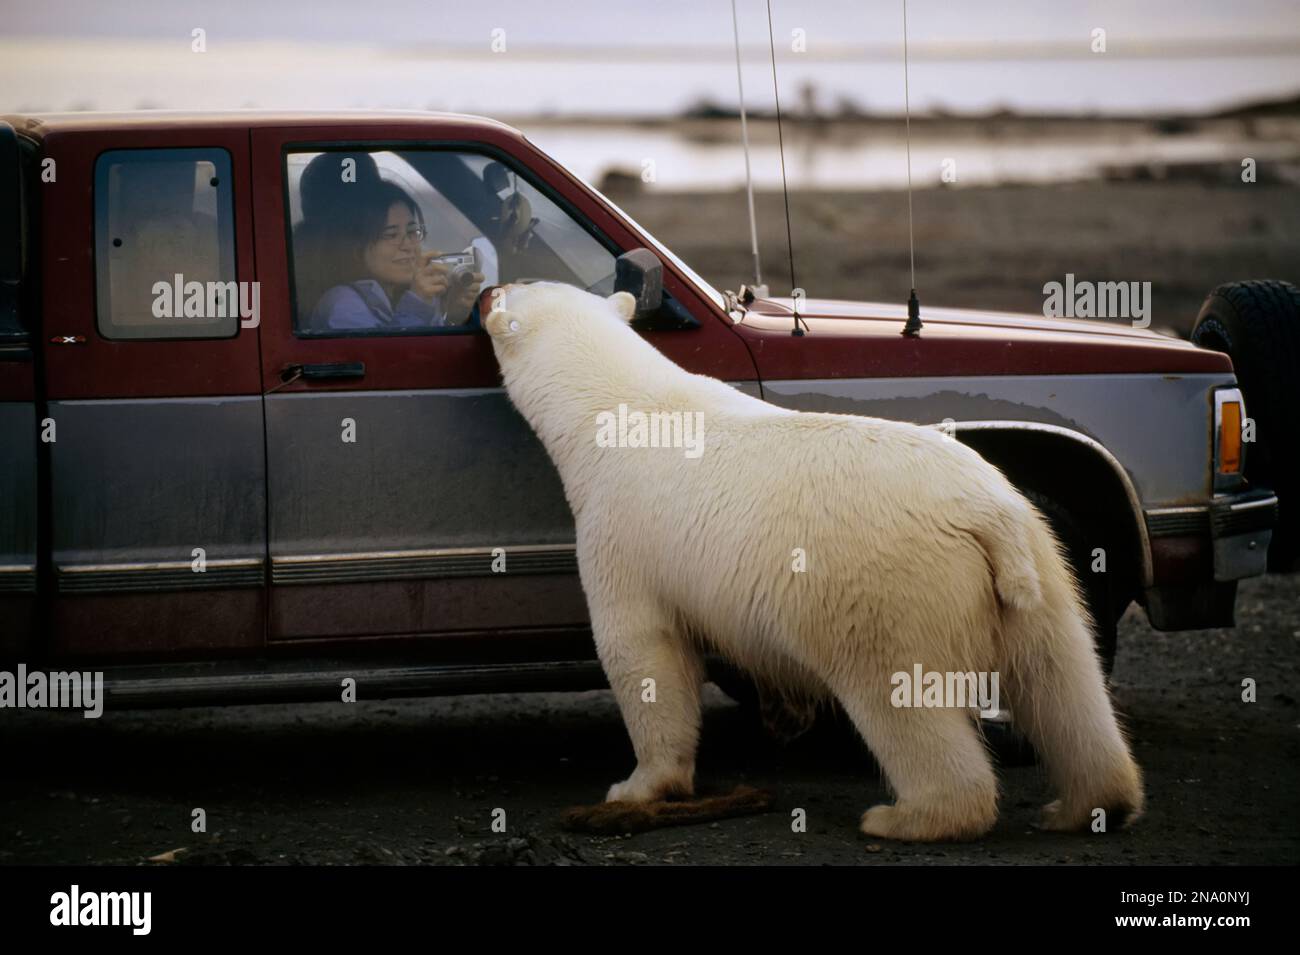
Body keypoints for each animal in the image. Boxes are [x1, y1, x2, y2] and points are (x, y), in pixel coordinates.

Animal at [483, 280, 1144, 841]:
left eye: (508, 289)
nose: (485, 287)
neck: (621, 408)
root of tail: (985, 517)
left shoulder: (621, 531)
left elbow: (643, 653)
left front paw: (637, 786)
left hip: (889, 584)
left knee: (899, 696)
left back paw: (906, 817)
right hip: (1038, 561)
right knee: (1063, 678)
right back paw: (1089, 804)